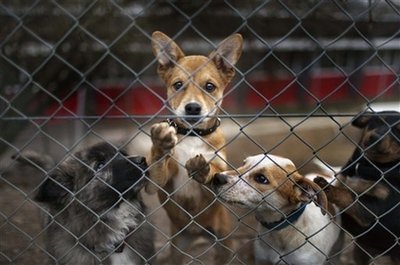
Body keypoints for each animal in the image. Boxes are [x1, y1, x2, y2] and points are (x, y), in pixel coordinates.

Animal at [145, 31, 242, 262]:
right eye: (178, 85)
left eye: (210, 87)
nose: (192, 108)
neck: (192, 135)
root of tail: (196, 234)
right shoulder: (155, 183)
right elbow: (158, 163)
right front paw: (161, 144)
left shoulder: (217, 186)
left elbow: (213, 171)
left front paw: (201, 168)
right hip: (177, 248)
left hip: (224, 244)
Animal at [316, 110, 400, 262]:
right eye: (377, 121)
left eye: (399, 131)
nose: (375, 137)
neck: (368, 166)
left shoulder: (377, 209)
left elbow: (350, 195)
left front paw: (327, 188)